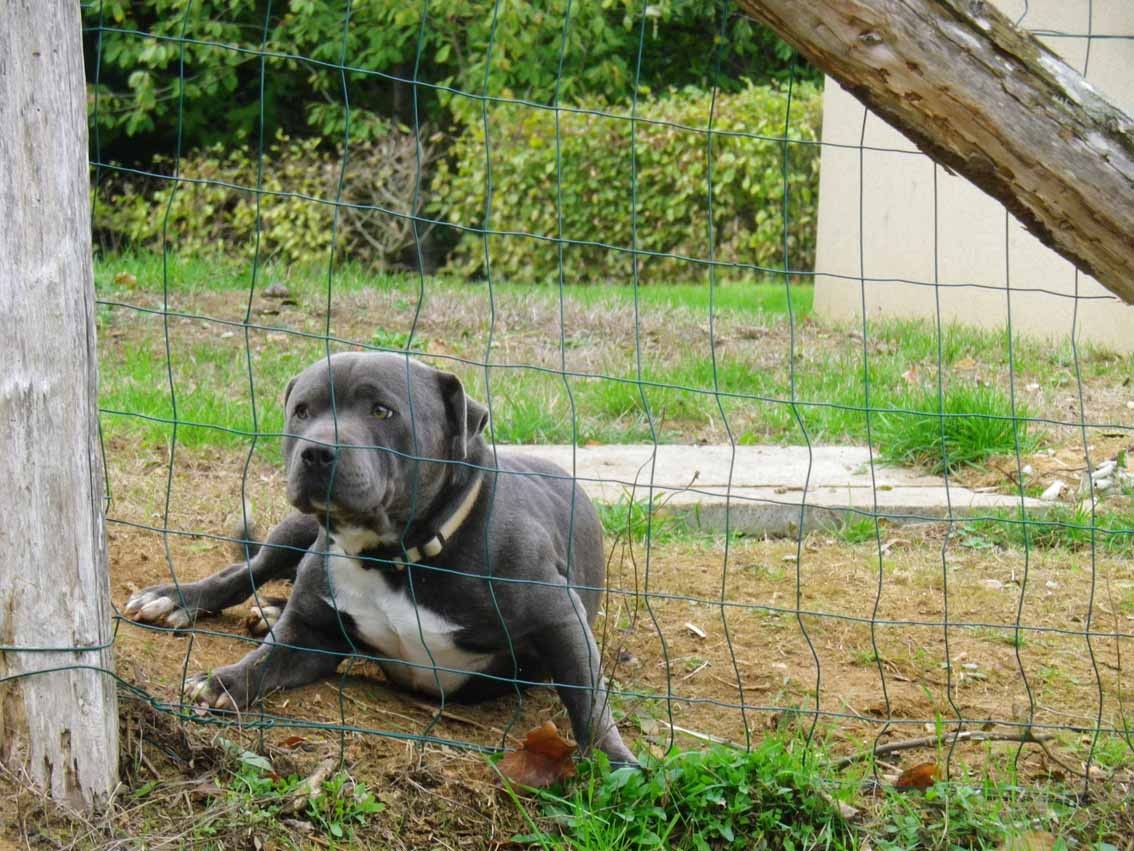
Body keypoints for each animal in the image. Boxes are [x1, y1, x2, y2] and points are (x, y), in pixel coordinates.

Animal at [127, 354, 639, 767]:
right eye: (302, 411)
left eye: (381, 411)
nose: (316, 451)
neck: (395, 558)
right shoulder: (310, 636)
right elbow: (265, 659)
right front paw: (224, 681)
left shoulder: (559, 617)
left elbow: (588, 698)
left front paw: (616, 764)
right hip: (296, 533)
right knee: (245, 572)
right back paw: (177, 599)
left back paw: (266, 608)